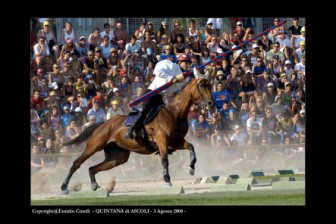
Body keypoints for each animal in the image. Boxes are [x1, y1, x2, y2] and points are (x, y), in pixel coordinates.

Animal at [61, 77, 213, 192]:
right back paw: (64, 187)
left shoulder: (175, 141)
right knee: (76, 163)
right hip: (94, 146)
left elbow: (191, 147)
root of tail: (104, 124)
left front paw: (191, 168)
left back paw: (94, 184)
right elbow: (164, 159)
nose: (211, 103)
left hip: (118, 157)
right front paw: (167, 180)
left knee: (92, 168)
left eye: (210, 86)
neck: (174, 113)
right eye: (202, 86)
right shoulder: (162, 140)